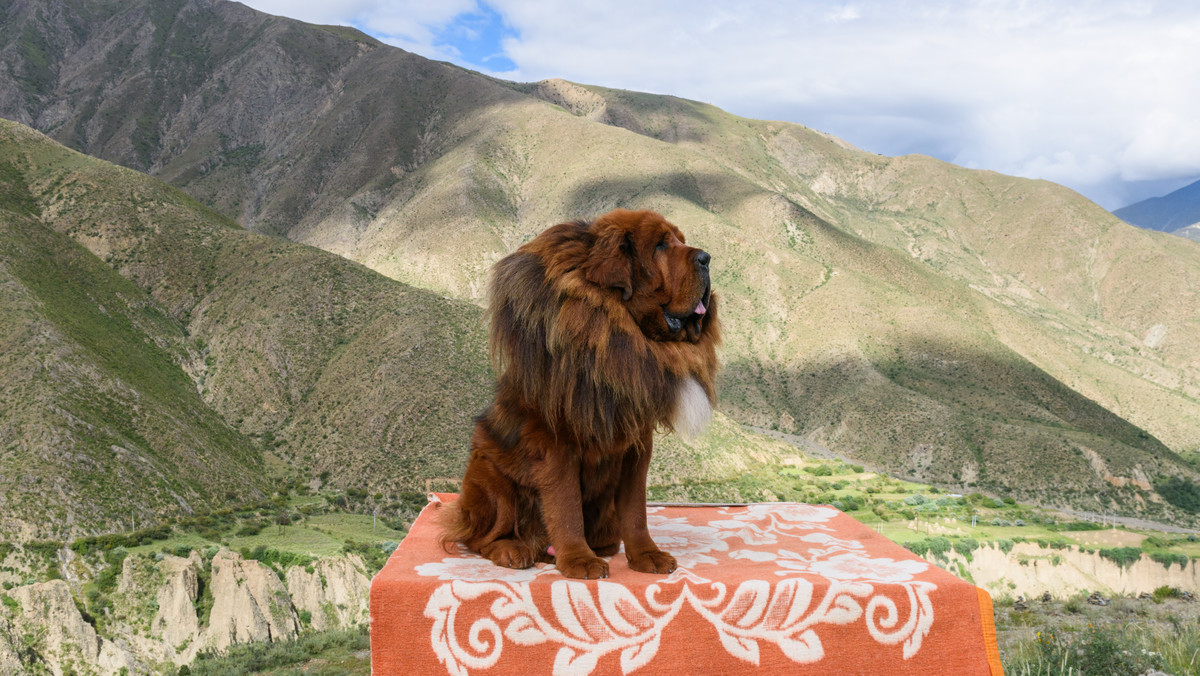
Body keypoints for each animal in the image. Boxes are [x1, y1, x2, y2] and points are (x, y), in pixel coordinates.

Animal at [444, 208, 715, 578]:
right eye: (660, 245)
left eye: (680, 241)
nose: (707, 259)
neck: (616, 334)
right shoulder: (557, 446)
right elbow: (566, 506)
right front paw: (578, 560)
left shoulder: (636, 447)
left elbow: (636, 511)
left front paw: (646, 554)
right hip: (489, 476)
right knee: (479, 538)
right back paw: (512, 549)